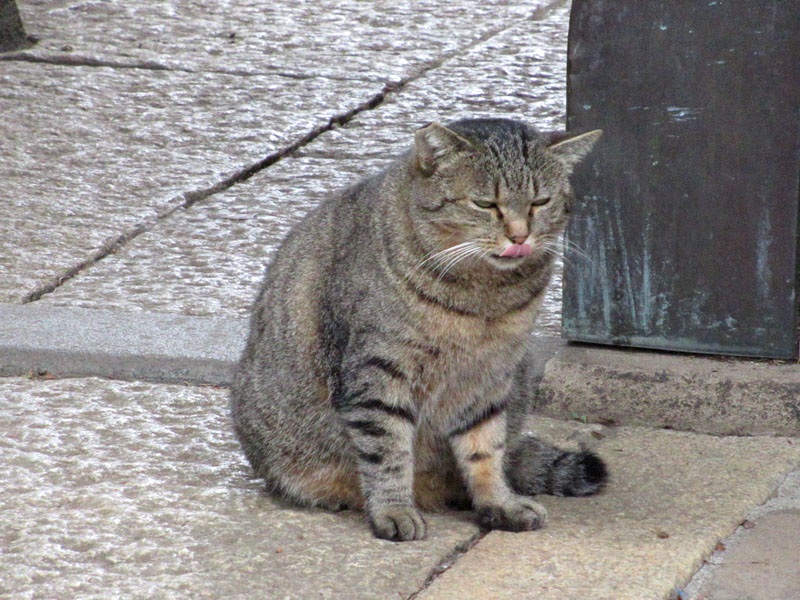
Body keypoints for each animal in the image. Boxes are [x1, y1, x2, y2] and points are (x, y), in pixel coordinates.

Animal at [231, 119, 608, 540]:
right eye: (485, 204)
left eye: (539, 203)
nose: (519, 236)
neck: (483, 296)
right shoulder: (379, 373)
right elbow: (388, 451)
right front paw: (394, 510)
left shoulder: (488, 377)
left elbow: (486, 448)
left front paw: (498, 503)